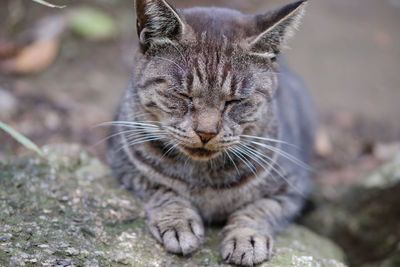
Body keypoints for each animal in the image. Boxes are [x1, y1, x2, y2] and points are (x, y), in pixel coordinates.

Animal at [105, 0, 316, 266]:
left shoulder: (291, 191)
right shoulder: (125, 166)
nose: (206, 133)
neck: (203, 178)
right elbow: (162, 190)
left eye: (235, 101)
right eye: (183, 94)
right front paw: (178, 223)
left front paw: (247, 238)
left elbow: (258, 209)